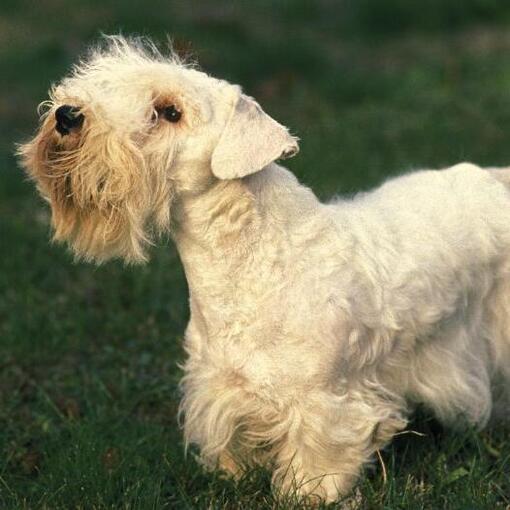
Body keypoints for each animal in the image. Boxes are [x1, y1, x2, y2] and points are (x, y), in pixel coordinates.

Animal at [17, 35, 510, 502]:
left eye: (170, 112)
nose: (67, 115)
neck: (250, 263)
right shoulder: (221, 386)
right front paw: (235, 476)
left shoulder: (325, 401)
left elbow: (317, 458)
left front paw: (309, 494)